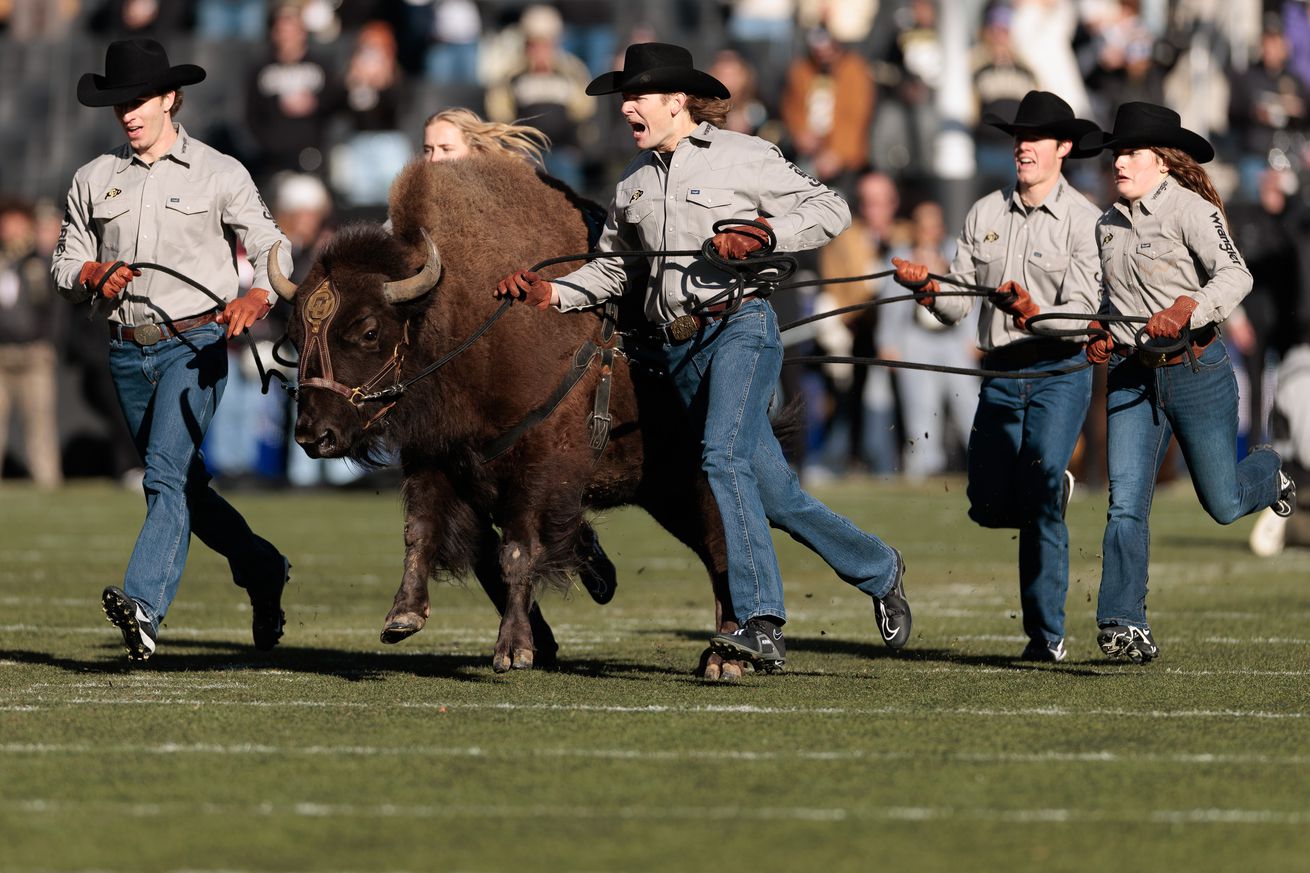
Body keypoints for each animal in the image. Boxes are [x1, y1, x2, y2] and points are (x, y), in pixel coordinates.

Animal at [268, 154, 749, 671]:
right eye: (294, 335)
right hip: (664, 491)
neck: (459, 320)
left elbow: (518, 552)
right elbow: (422, 533)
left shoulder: (536, 471)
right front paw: (403, 617)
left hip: (694, 481)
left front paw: (513, 650)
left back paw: (725, 657)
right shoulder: (435, 459)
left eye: (369, 330)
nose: (314, 435)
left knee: (724, 545)